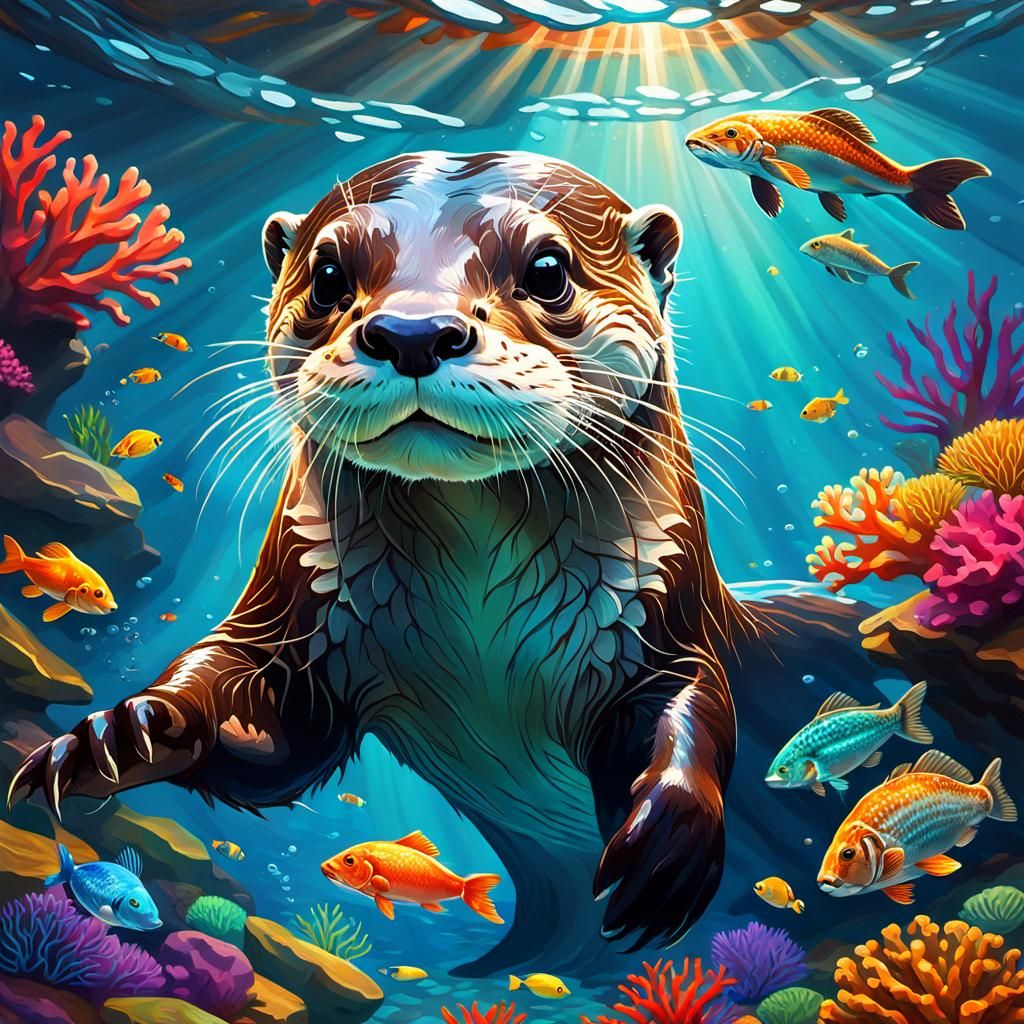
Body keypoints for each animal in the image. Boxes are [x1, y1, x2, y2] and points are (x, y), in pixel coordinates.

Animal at [10, 152, 761, 975]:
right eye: (328, 274)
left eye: (548, 268)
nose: (412, 332)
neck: (479, 622)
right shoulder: (300, 614)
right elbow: (264, 731)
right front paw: (123, 730)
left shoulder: (663, 616)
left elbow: (688, 703)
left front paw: (666, 841)